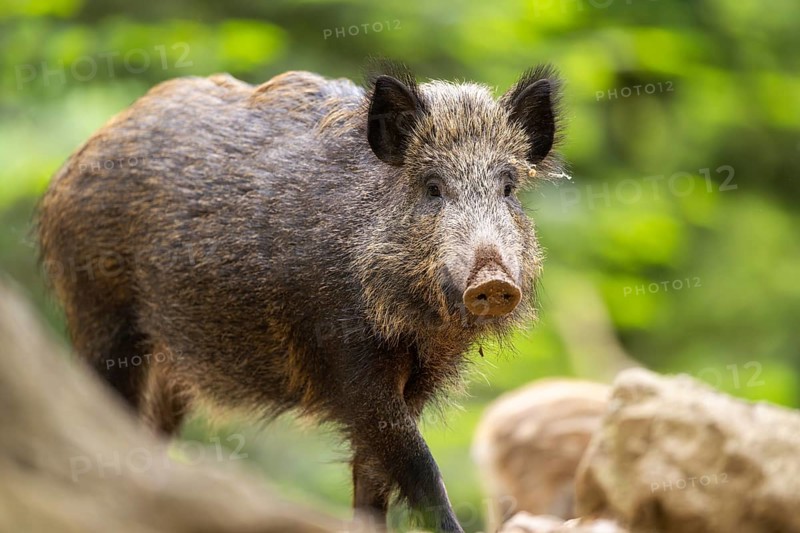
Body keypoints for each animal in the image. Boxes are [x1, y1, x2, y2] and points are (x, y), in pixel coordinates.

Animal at [37, 61, 563, 532]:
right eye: (433, 188)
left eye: (508, 188)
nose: (493, 281)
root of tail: (76, 160)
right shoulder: (345, 357)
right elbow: (419, 468)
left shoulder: (417, 381)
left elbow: (372, 484)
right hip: (100, 315)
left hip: (170, 364)